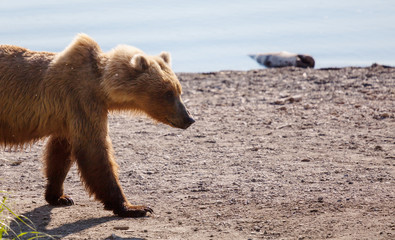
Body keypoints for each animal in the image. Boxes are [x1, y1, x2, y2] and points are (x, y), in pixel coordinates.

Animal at [0, 33, 195, 218]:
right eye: (168, 93)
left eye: (178, 90)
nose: (189, 118)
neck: (102, 87)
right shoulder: (81, 101)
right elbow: (95, 151)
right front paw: (134, 207)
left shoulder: (67, 117)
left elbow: (60, 154)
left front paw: (59, 196)